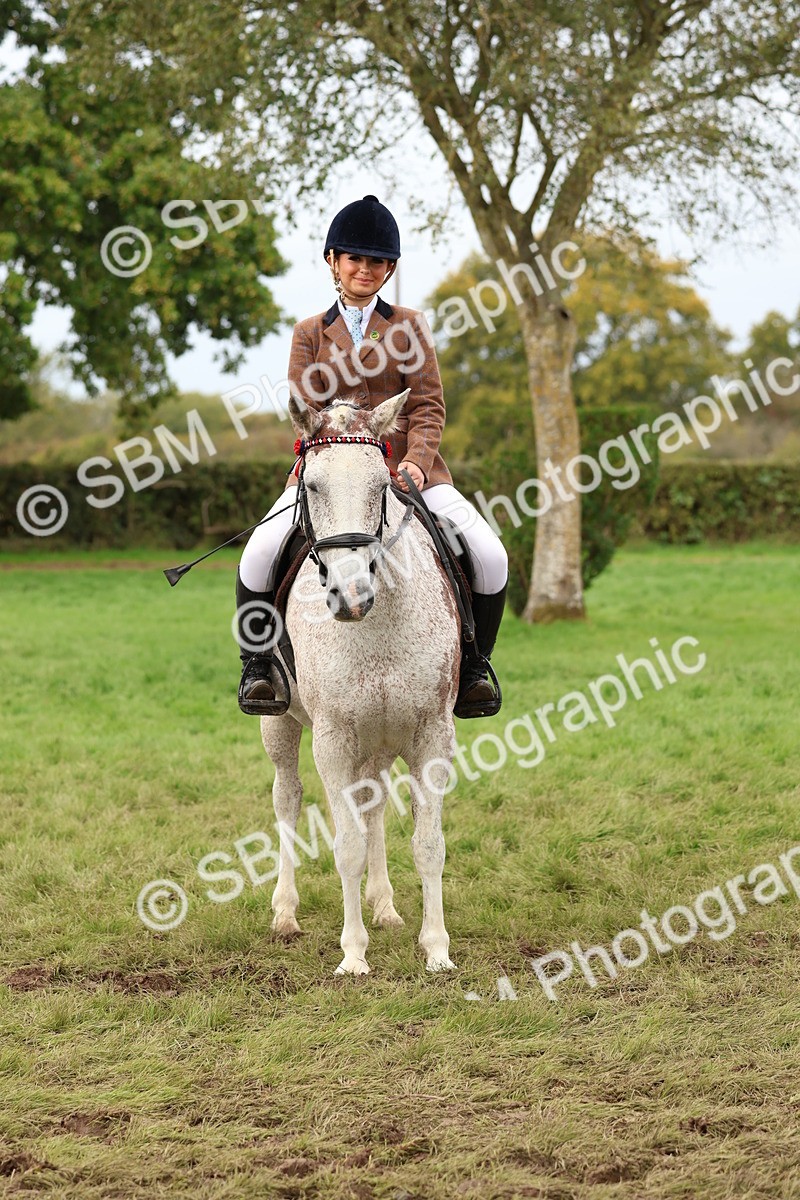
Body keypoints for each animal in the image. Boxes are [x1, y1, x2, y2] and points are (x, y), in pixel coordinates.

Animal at [261, 389, 461, 975]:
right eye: (312, 484)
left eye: (381, 485)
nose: (351, 597)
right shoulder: (333, 739)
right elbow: (345, 844)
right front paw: (352, 954)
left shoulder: (431, 733)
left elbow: (428, 843)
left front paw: (436, 949)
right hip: (280, 724)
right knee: (287, 798)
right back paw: (286, 912)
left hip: (379, 739)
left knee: (372, 805)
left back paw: (385, 905)